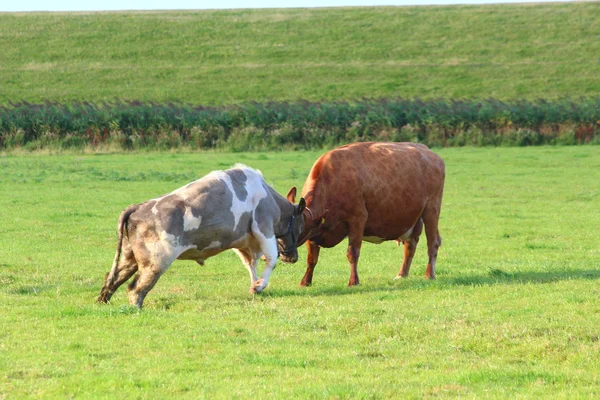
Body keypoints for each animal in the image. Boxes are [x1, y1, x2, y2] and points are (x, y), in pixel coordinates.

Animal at [99, 164, 308, 308]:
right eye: (300, 227)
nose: (293, 257)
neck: (268, 196)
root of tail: (137, 207)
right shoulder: (263, 228)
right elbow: (271, 260)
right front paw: (259, 286)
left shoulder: (243, 242)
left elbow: (251, 264)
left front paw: (254, 286)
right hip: (156, 262)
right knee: (135, 289)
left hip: (128, 258)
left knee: (112, 279)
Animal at [290, 142, 446, 286]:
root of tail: (428, 151)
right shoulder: (313, 232)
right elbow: (312, 258)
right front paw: (305, 281)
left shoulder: (358, 219)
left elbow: (352, 253)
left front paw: (354, 281)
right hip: (413, 218)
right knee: (410, 245)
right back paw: (402, 274)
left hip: (431, 209)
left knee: (432, 243)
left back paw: (429, 275)